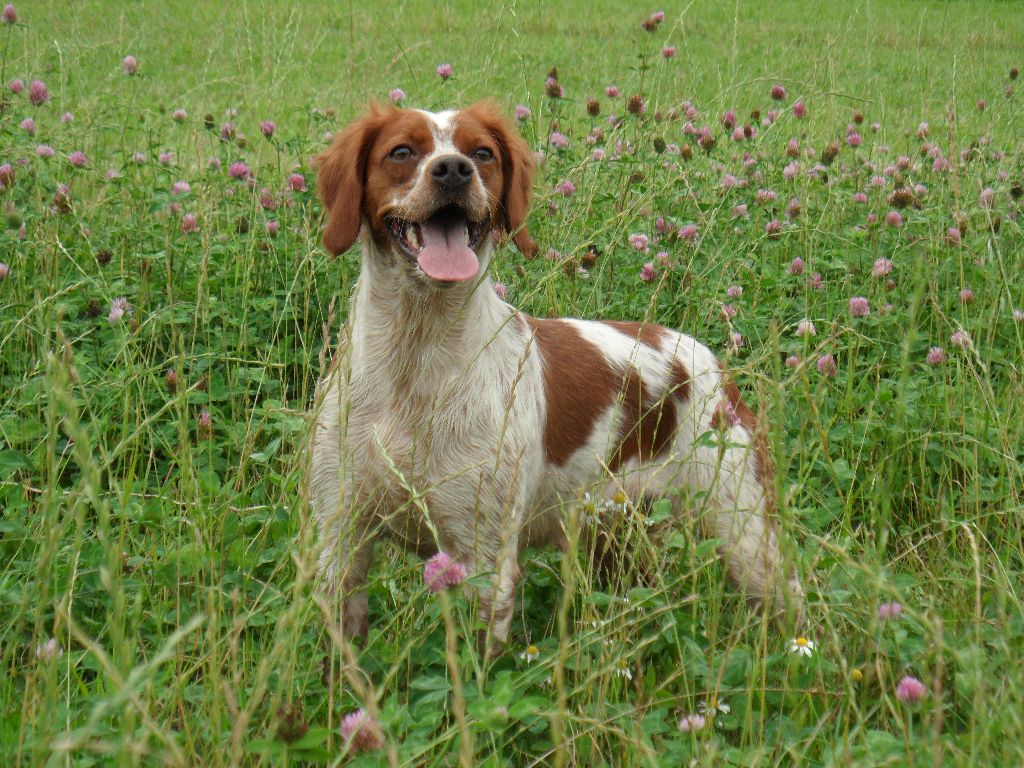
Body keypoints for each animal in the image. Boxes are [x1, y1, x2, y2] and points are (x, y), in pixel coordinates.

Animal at [307, 99, 802, 647]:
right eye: (401, 151)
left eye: (483, 153)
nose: (454, 169)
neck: (415, 359)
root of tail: (710, 361)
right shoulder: (339, 540)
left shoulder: (486, 560)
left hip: (748, 536)